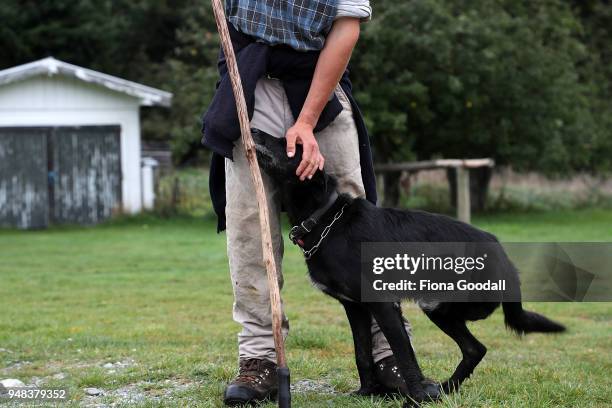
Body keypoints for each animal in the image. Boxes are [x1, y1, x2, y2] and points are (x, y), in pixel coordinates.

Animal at [252, 131, 564, 408]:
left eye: (289, 144)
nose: (252, 130)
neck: (326, 220)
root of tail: (503, 256)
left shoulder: (384, 304)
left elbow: (404, 355)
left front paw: (415, 400)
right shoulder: (355, 308)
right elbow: (362, 353)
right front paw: (367, 392)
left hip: (439, 303)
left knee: (473, 346)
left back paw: (439, 391)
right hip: (439, 309)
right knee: (475, 349)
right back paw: (445, 389)